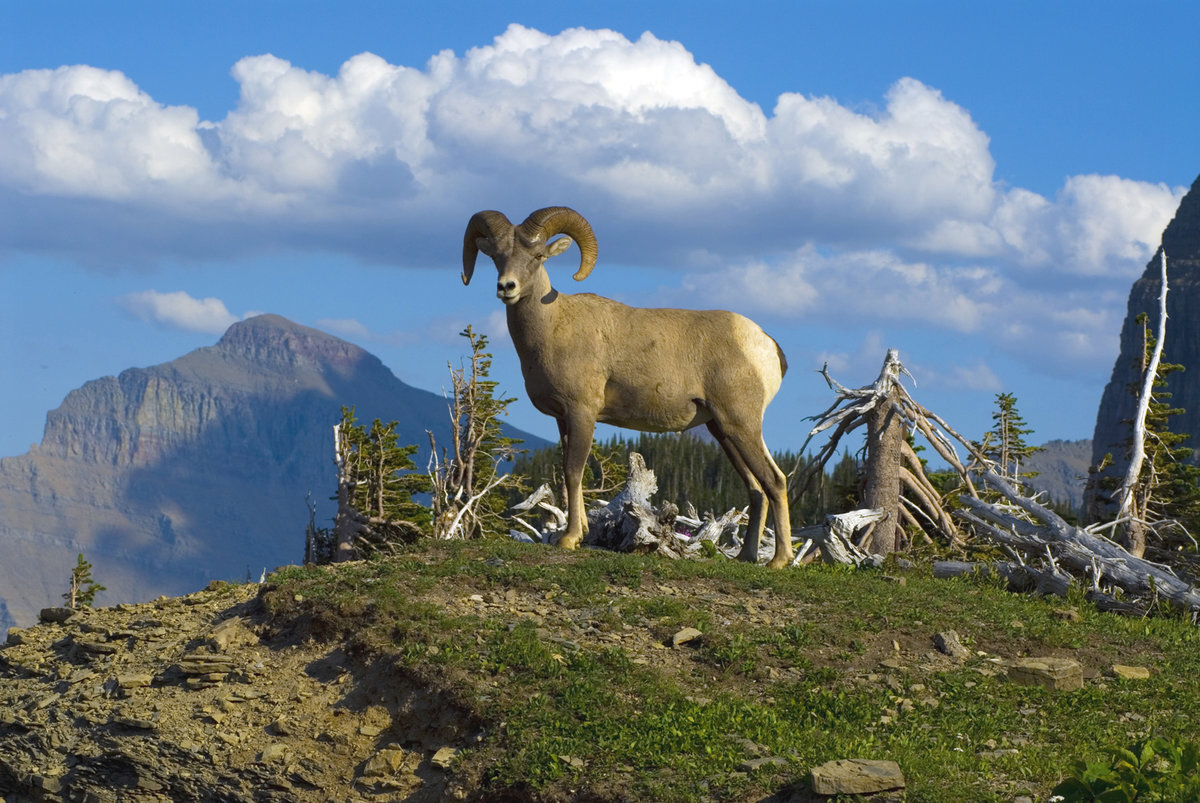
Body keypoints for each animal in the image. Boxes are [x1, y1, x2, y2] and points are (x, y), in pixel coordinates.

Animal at [463, 210, 792, 566]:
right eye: (497, 256)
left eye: (537, 257)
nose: (506, 287)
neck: (552, 328)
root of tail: (767, 345)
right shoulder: (563, 419)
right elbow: (570, 474)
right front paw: (578, 534)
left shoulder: (582, 413)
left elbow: (573, 471)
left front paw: (569, 539)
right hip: (722, 431)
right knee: (756, 489)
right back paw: (746, 556)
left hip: (742, 424)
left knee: (775, 481)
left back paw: (779, 560)